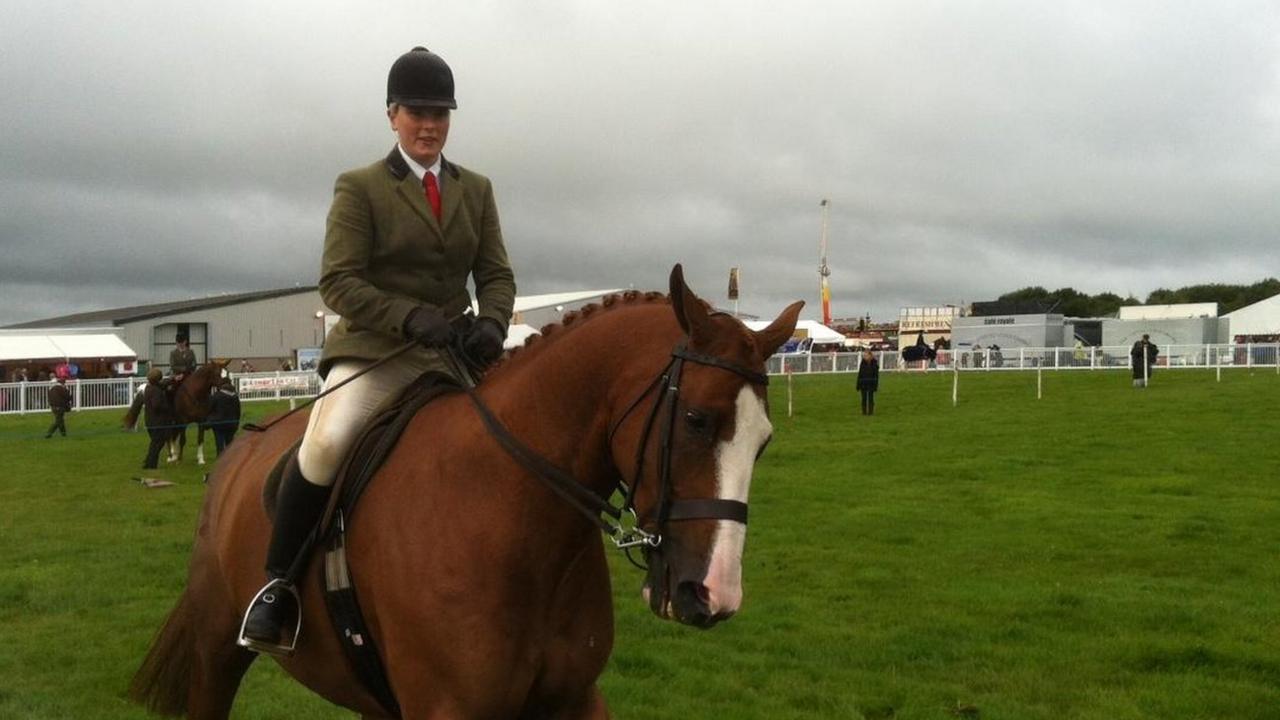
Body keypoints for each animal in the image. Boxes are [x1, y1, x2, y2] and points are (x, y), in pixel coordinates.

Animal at [127, 265, 798, 717]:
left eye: (763, 441)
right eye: (698, 421)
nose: (712, 594)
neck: (512, 521)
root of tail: (239, 451)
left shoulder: (574, 698)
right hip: (219, 650)